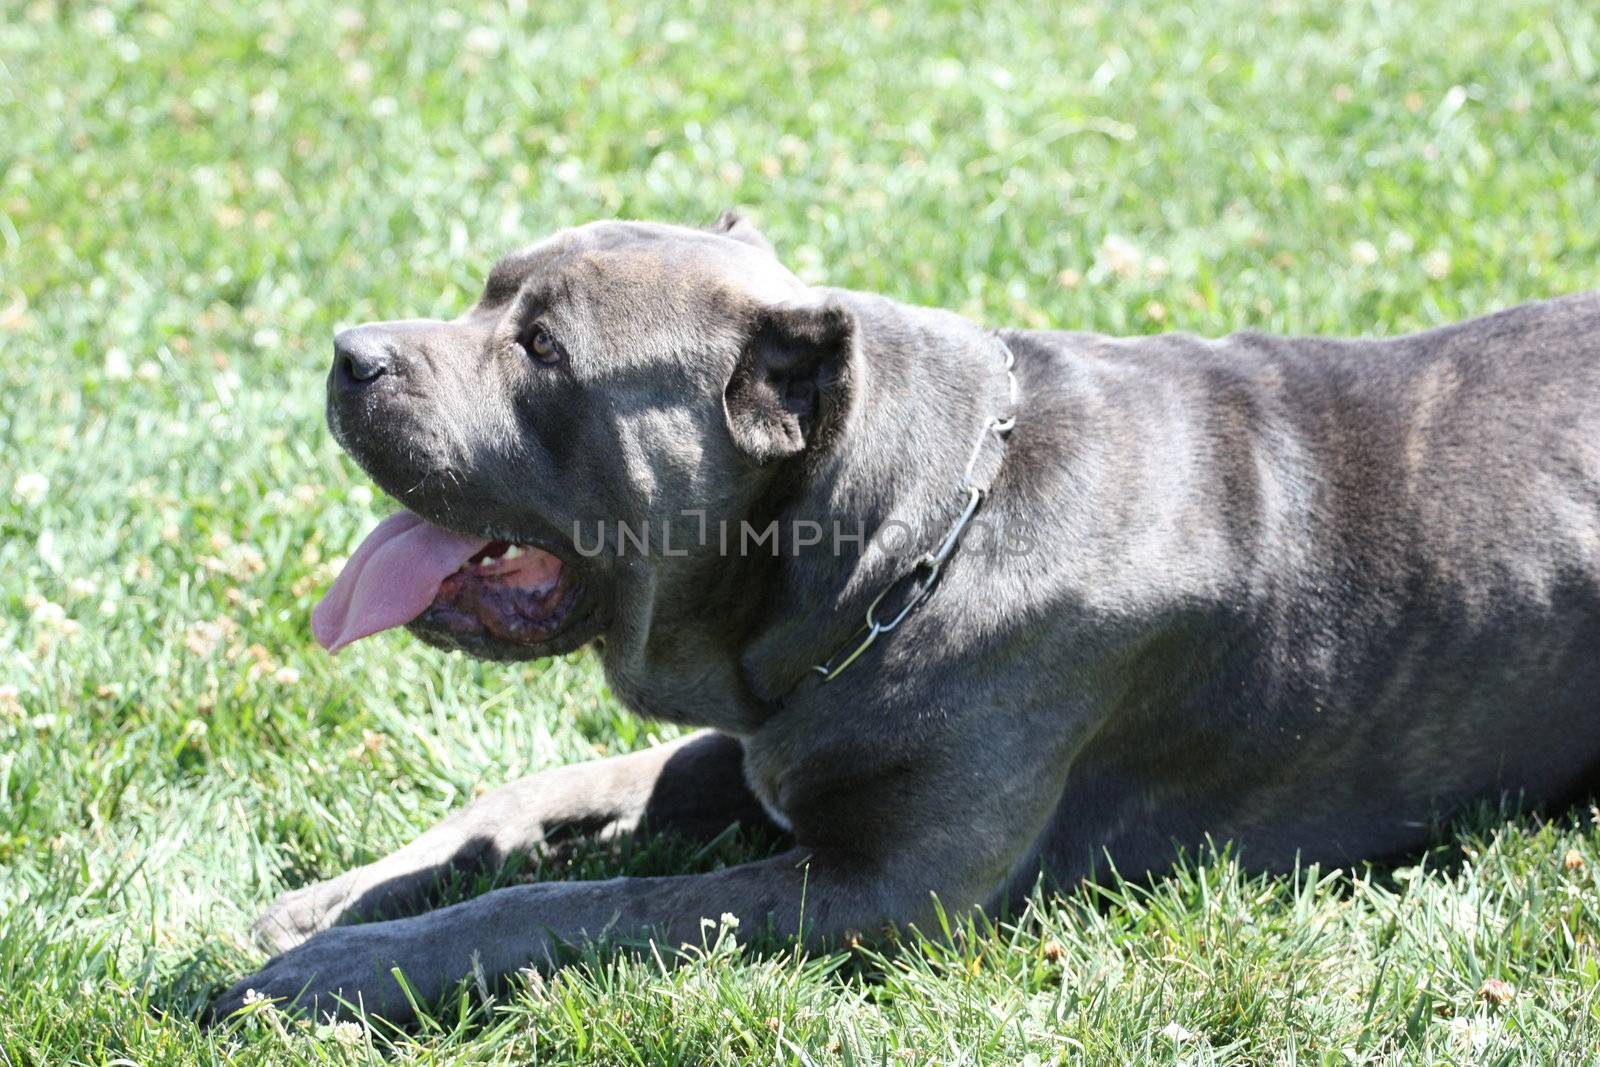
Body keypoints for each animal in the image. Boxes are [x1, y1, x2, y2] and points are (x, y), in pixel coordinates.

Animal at [212, 212, 1600, 1023]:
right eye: (488, 295)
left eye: (543, 349)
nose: (347, 351)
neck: (912, 534)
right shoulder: (767, 738)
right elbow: (545, 793)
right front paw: (335, 905)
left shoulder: (881, 886)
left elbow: (584, 903)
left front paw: (340, 971)